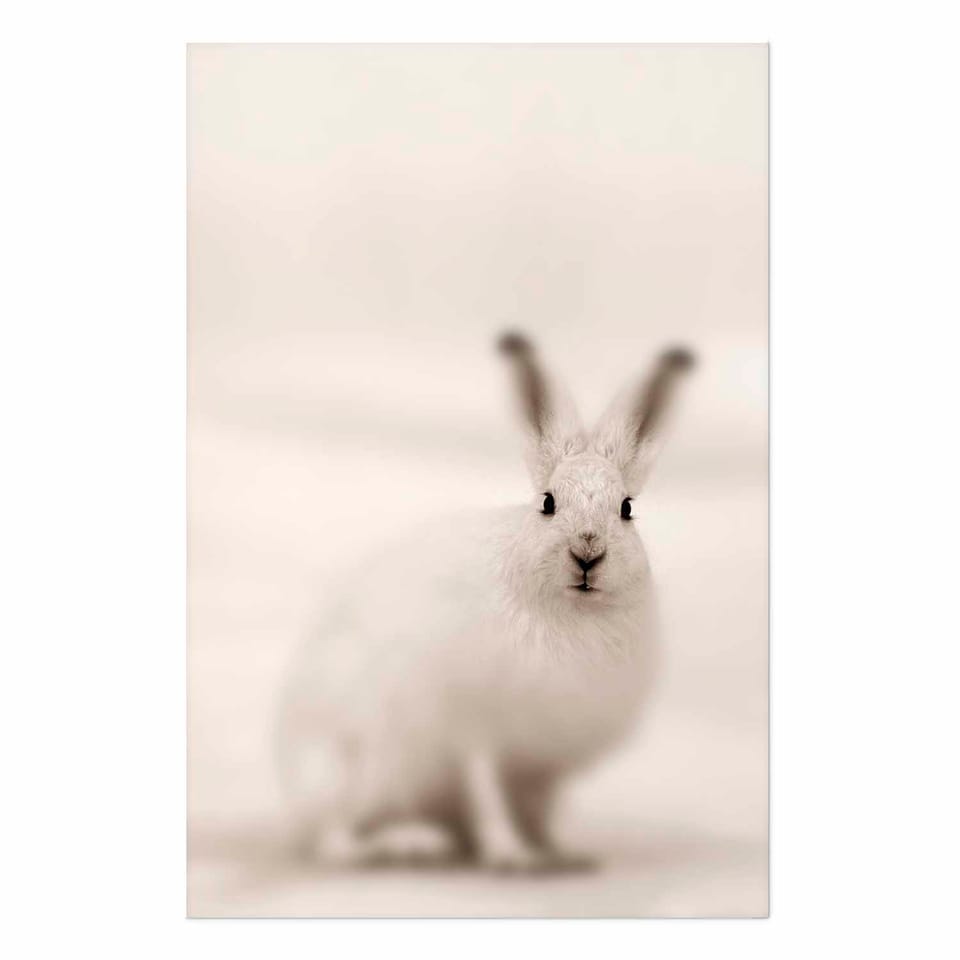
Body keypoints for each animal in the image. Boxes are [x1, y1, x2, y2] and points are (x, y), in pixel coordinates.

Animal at [277, 332, 694, 872]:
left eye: (626, 509)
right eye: (548, 503)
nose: (587, 553)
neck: (571, 615)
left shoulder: (542, 758)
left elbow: (538, 809)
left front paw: (559, 853)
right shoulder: (477, 731)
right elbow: (488, 795)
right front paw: (512, 856)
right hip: (367, 761)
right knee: (332, 836)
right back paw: (400, 847)